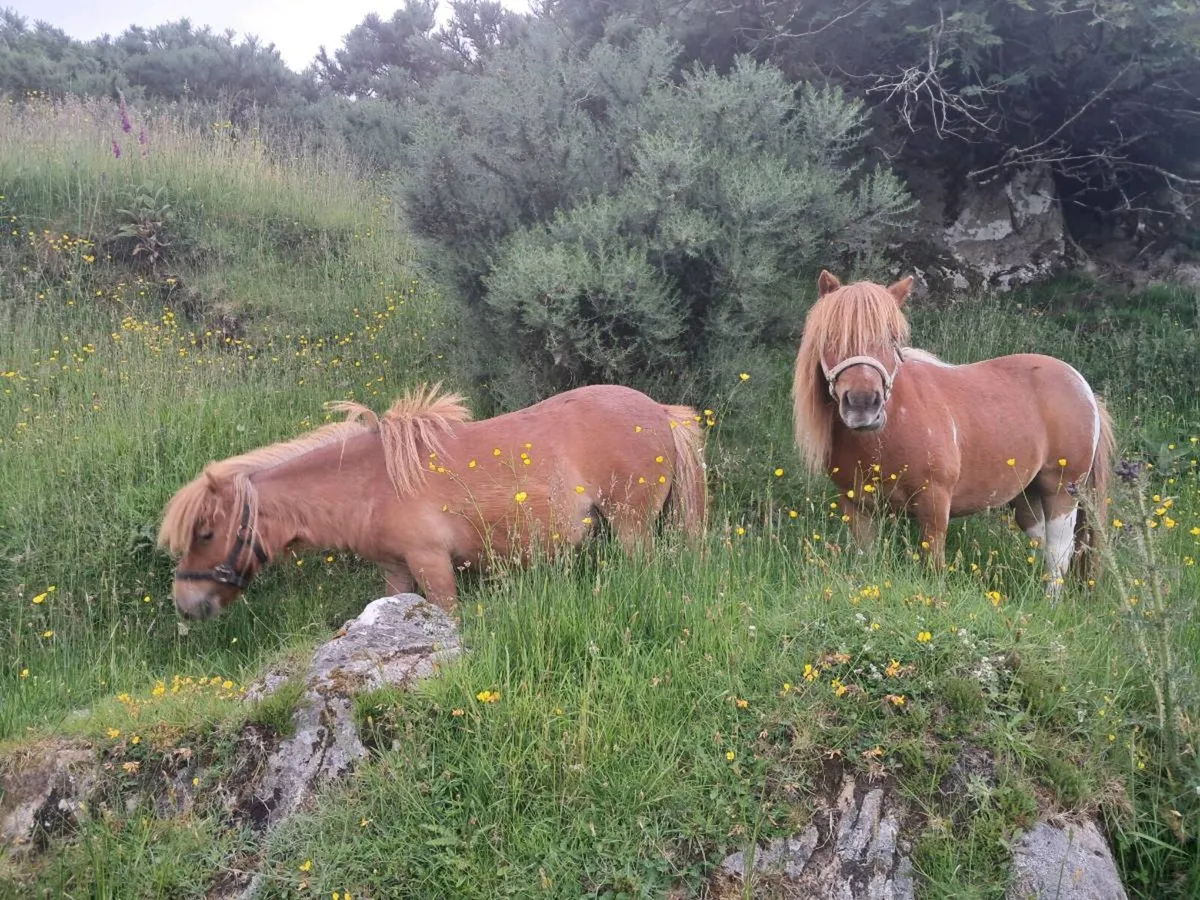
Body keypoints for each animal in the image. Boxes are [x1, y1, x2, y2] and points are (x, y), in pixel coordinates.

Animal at [159, 384, 707, 619]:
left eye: (206, 532)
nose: (185, 604)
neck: (372, 481)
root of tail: (660, 411)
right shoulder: (396, 570)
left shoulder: (432, 564)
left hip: (632, 528)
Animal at [792, 271, 1115, 592]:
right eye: (831, 335)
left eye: (892, 338)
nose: (862, 404)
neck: (884, 434)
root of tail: (1082, 386)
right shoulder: (858, 508)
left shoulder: (934, 506)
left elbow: (933, 568)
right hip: (1026, 496)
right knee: (1044, 546)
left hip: (1061, 491)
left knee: (1059, 553)